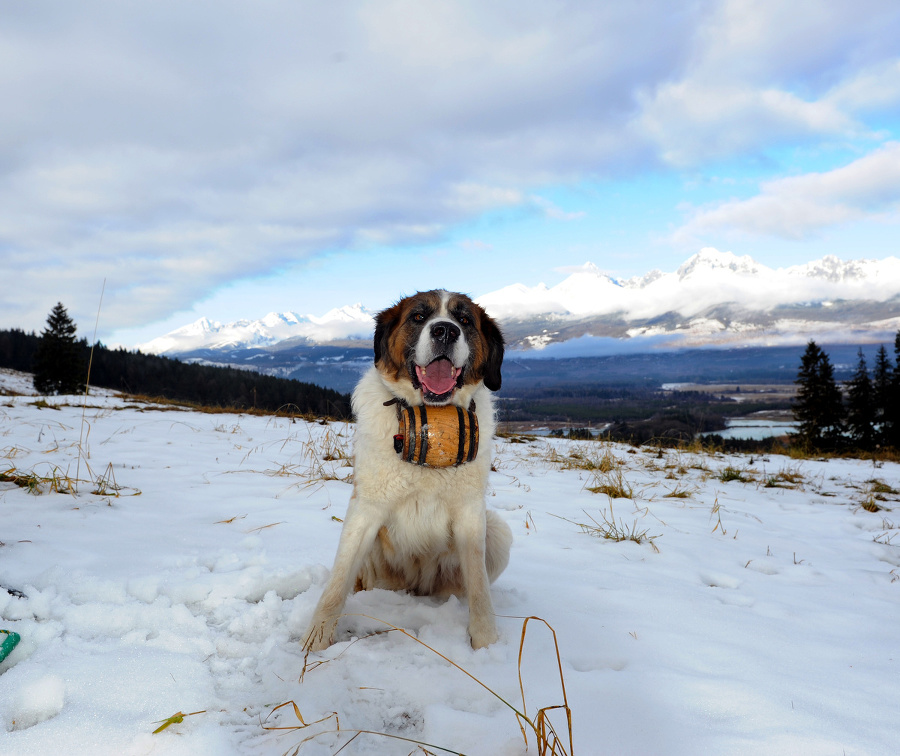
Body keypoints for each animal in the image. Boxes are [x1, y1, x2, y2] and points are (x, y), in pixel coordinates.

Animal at [304, 288, 510, 648]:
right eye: (418, 316)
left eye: (464, 320)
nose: (445, 331)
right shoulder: (365, 510)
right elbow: (338, 579)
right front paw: (318, 635)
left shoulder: (471, 513)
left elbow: (479, 587)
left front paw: (485, 642)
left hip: (498, 532)